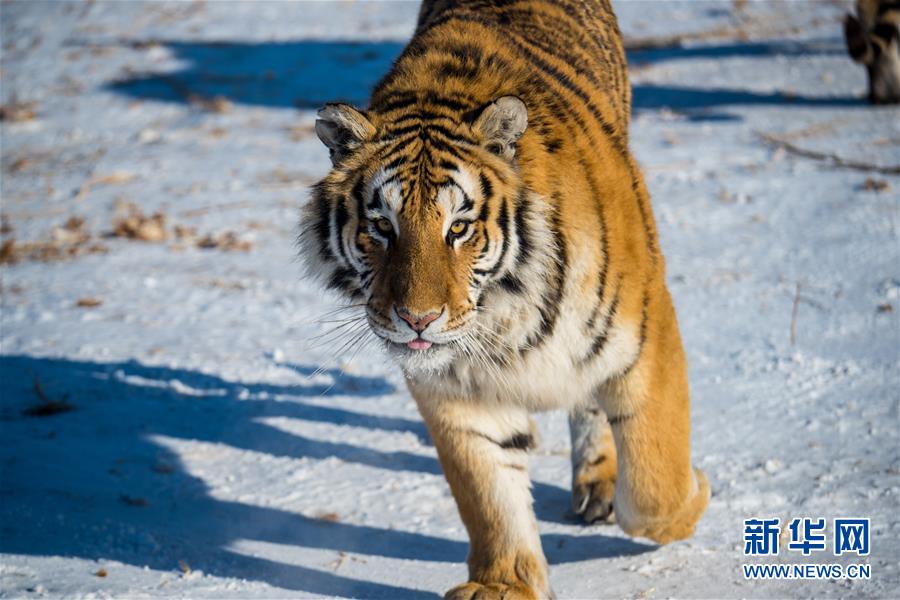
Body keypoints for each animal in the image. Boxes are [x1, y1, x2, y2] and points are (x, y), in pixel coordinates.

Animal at [302, 1, 712, 596]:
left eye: (458, 227)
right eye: (381, 226)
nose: (417, 320)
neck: (501, 313)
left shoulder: (646, 332)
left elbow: (654, 486)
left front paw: (697, 492)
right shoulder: (454, 390)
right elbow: (488, 490)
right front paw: (504, 584)